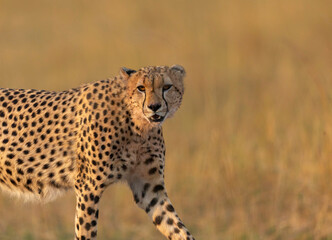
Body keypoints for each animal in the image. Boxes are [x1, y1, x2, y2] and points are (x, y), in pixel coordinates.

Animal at [0, 64, 195, 239]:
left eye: (167, 87)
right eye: (141, 88)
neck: (137, 125)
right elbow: (86, 231)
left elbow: (176, 226)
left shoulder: (149, 188)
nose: (154, 106)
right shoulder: (88, 187)